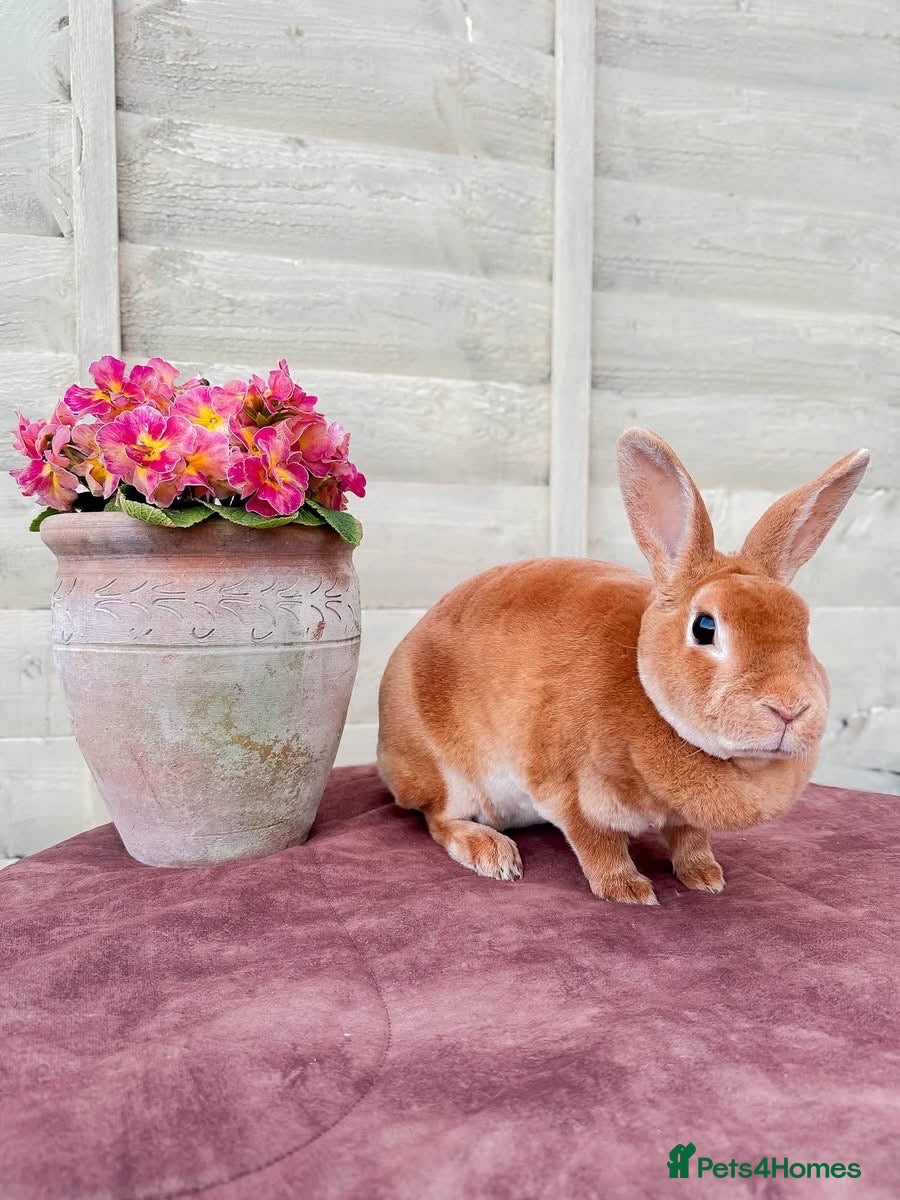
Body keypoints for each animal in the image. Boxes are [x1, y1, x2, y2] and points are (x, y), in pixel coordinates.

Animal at [377, 429, 870, 904]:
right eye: (705, 627)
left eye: (804, 625)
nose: (790, 709)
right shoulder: (569, 791)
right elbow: (598, 844)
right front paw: (627, 890)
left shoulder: (682, 817)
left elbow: (691, 838)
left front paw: (706, 877)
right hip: (447, 773)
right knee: (438, 818)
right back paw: (491, 853)